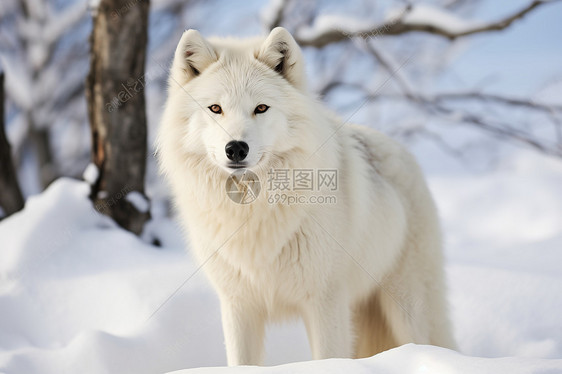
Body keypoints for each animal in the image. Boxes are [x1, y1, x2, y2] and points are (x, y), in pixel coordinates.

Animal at [155, 27, 452, 366]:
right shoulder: (238, 305)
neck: (253, 213)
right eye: (215, 108)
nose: (236, 148)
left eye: (261, 108)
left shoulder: (325, 301)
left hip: (408, 308)